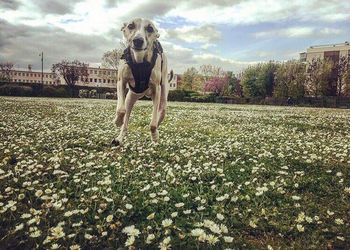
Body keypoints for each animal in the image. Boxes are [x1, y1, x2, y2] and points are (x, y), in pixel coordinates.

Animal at [112, 17, 172, 146]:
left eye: (150, 28)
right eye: (130, 26)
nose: (138, 41)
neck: (140, 61)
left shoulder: (156, 88)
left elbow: (153, 124)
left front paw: (154, 135)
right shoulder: (121, 81)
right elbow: (121, 109)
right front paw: (117, 121)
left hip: (163, 96)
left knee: (160, 113)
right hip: (130, 98)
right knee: (126, 120)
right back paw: (119, 138)